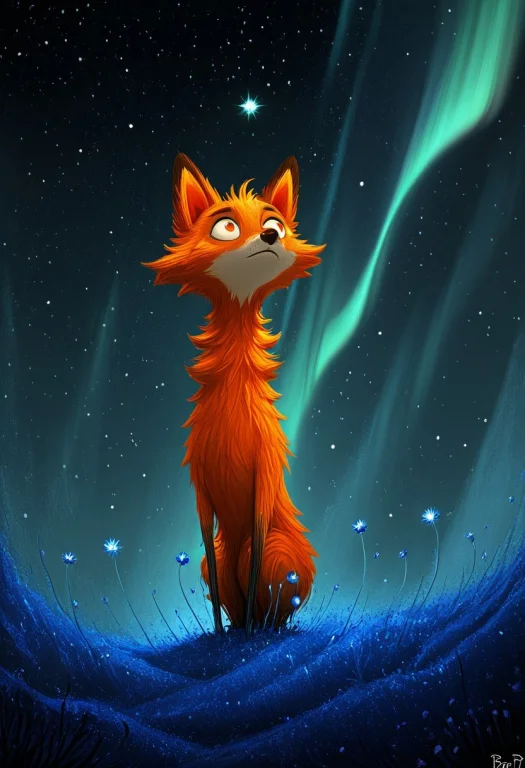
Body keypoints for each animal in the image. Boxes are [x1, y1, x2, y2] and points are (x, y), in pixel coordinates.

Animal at [142, 154, 325, 635]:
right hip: (217, 563)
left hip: (281, 553)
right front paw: (222, 635)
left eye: (275, 224)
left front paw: (246, 636)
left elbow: (257, 560)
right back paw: (241, 630)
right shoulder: (200, 488)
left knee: (264, 587)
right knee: (226, 579)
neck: (234, 413)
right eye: (225, 227)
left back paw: (263, 631)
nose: (270, 236)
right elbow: (209, 556)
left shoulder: (264, 477)